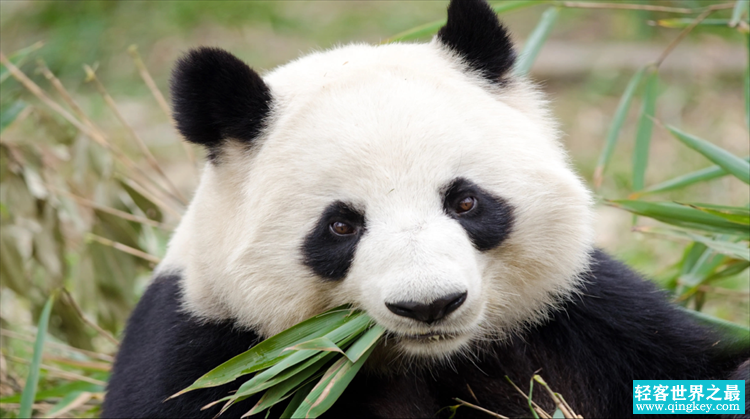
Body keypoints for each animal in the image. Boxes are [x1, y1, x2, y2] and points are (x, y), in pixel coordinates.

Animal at [101, 0, 750, 418]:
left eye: (465, 201)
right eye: (341, 225)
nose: (430, 304)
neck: (426, 360)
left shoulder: (584, 319)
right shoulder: (213, 354)